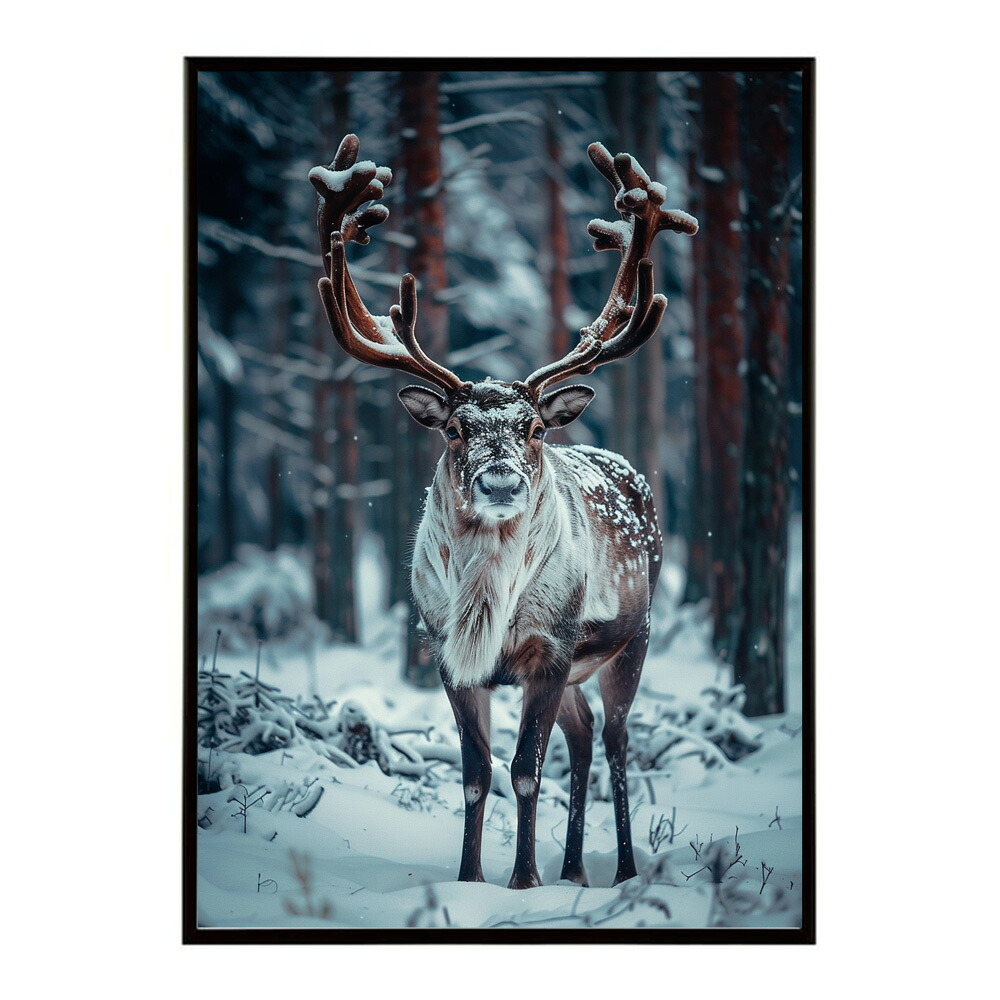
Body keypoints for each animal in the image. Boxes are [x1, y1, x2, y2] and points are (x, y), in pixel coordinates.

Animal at [309, 134, 697, 890]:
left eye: (533, 427)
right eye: (456, 429)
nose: (499, 481)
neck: (487, 605)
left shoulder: (551, 648)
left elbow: (523, 771)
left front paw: (523, 883)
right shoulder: (445, 655)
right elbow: (474, 776)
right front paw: (470, 880)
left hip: (630, 640)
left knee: (614, 742)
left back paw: (621, 868)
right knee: (582, 739)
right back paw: (575, 869)